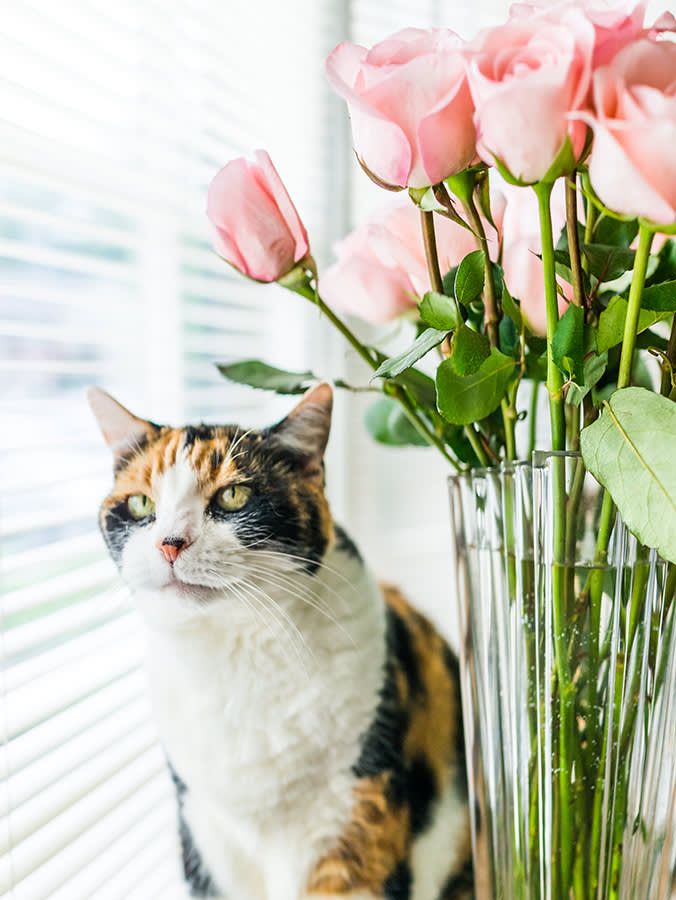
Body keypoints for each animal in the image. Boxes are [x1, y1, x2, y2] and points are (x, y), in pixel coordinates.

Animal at [88, 384, 470, 900]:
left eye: (234, 495)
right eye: (141, 505)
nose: (169, 543)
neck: (232, 659)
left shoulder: (361, 818)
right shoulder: (206, 833)